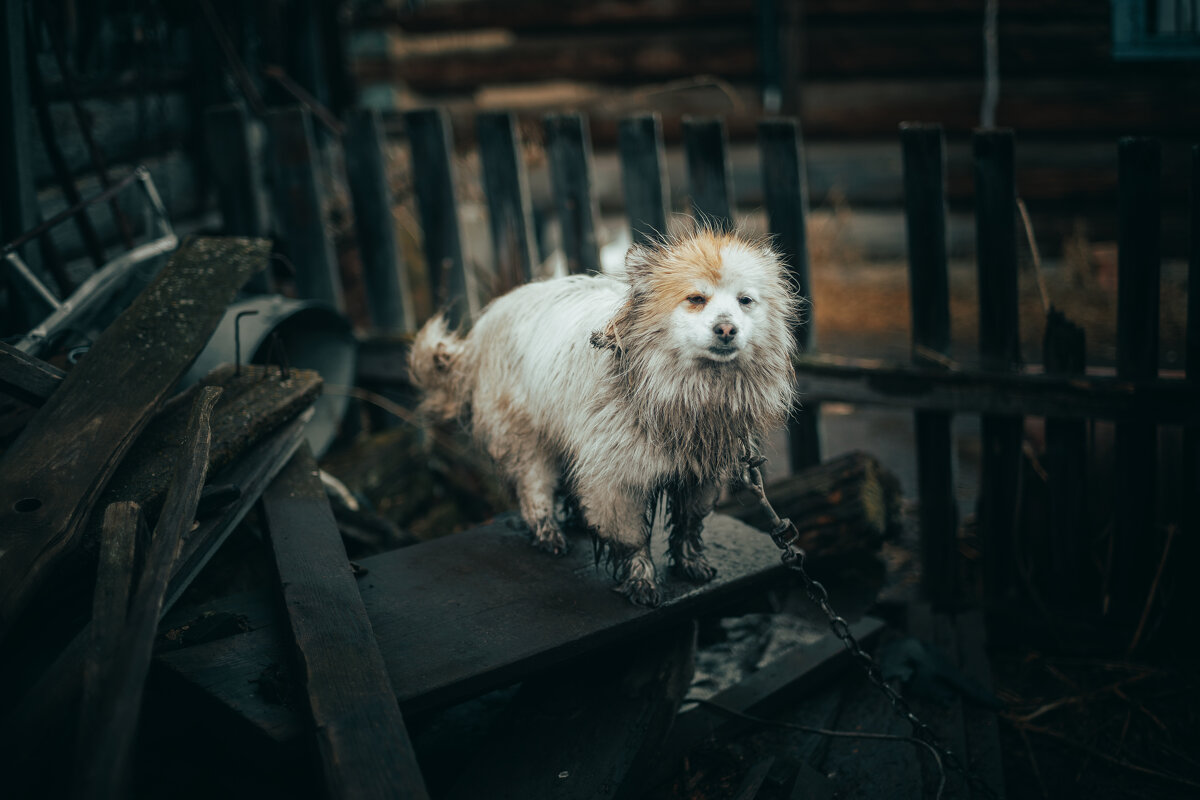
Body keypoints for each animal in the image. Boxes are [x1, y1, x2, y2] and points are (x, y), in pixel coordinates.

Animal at [410, 226, 796, 606]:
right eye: (696, 299)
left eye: (745, 301)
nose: (727, 329)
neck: (682, 391)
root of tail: (484, 326)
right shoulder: (618, 478)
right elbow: (632, 539)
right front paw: (642, 581)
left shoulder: (699, 474)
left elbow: (689, 524)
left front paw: (690, 563)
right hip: (527, 437)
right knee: (535, 488)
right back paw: (548, 533)